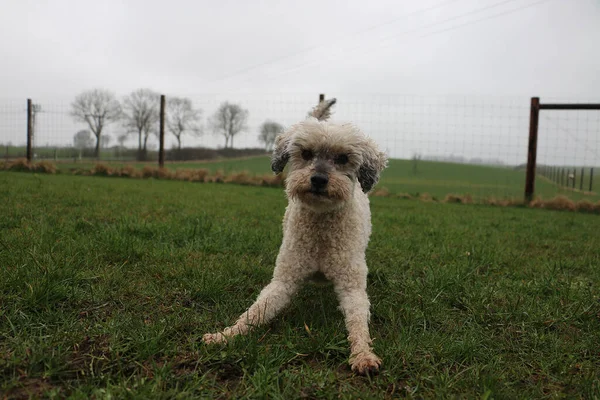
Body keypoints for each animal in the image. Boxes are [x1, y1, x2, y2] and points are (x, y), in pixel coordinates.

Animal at [204, 100, 386, 376]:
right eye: (307, 153)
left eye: (343, 158)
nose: (319, 179)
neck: (321, 231)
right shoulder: (284, 279)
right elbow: (256, 311)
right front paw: (225, 336)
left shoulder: (351, 285)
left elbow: (357, 321)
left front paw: (363, 355)